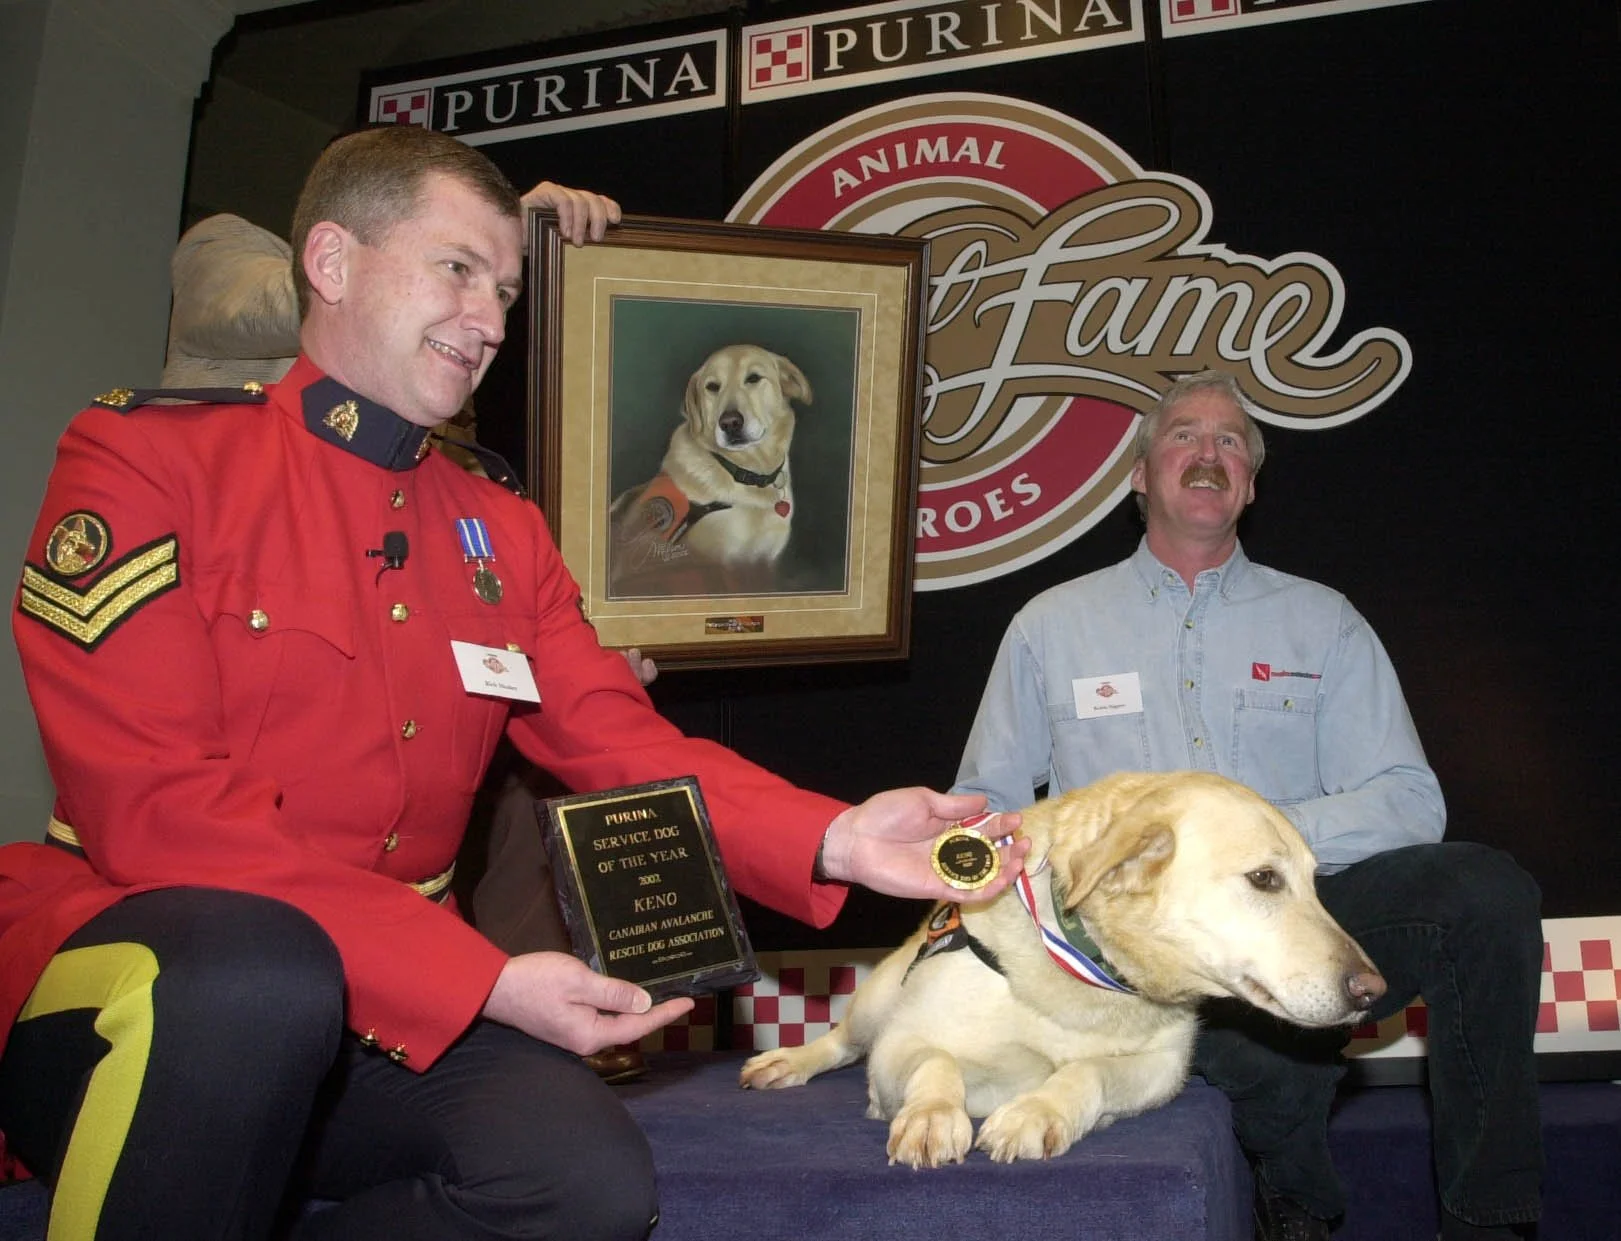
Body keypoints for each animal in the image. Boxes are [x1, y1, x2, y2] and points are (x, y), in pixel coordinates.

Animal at [609, 344, 811, 589]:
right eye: (712, 387)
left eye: (753, 378)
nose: (730, 423)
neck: (746, 474)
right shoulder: (722, 566)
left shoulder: (765, 564)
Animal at [739, 771, 1384, 1168]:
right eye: (1264, 879)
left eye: (1314, 883)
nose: (1371, 990)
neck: (1086, 969)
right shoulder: (903, 1042)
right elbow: (936, 1061)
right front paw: (931, 1116)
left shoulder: (1162, 1070)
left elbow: (1087, 1071)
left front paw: (1038, 1110)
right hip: (876, 1002)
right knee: (843, 1041)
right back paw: (787, 1061)